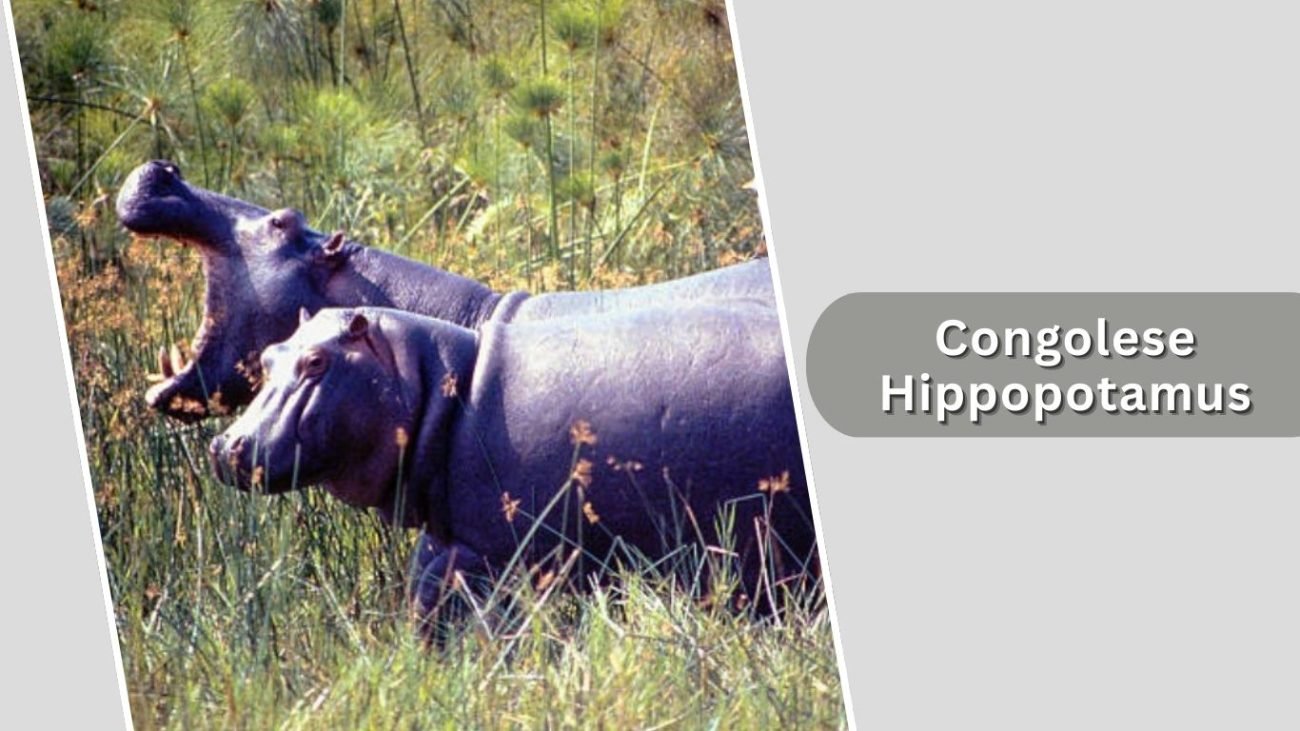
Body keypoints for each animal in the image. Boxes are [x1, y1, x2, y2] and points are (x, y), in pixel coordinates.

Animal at [208, 305, 815, 622]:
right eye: (269, 355)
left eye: (316, 361)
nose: (225, 446)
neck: (434, 379)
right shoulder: (456, 540)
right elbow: (428, 598)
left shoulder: (501, 553)